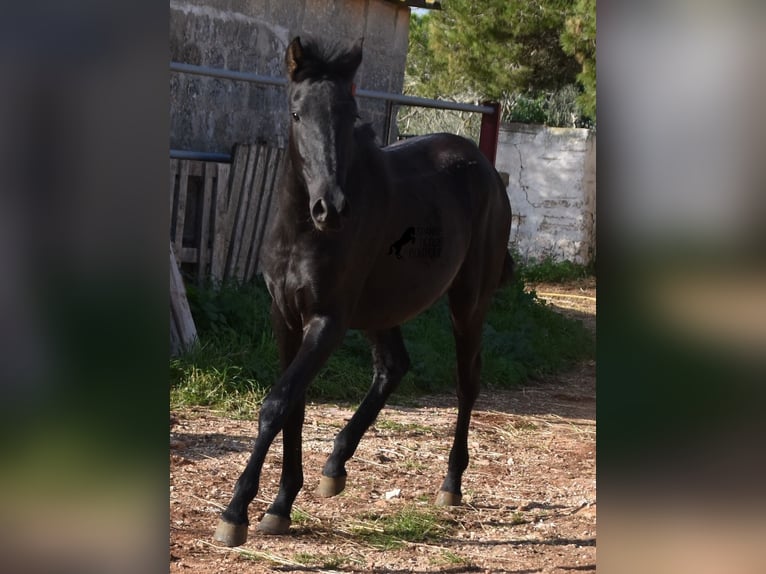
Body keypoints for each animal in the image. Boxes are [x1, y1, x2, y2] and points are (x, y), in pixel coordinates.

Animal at [216, 37, 512, 548]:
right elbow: (293, 405)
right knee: (393, 366)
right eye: (297, 114)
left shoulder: (328, 321)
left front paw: (236, 512)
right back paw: (335, 466)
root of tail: (488, 172)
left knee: (467, 380)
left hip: (468, 302)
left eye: (349, 113)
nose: (331, 208)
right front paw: (280, 506)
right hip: (382, 308)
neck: (302, 232)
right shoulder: (285, 316)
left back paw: (450, 484)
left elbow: (277, 403)